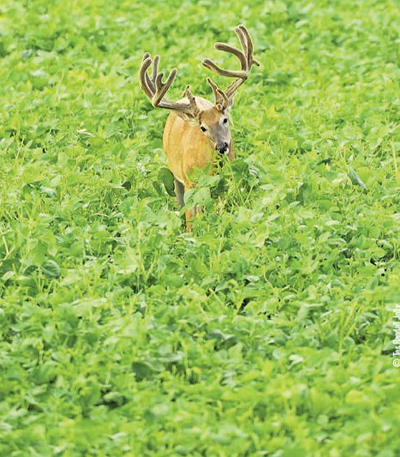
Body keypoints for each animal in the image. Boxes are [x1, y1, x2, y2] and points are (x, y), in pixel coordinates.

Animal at [141, 23, 260, 230]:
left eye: (225, 119)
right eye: (203, 127)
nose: (222, 146)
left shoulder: (225, 181)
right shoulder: (190, 182)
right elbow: (191, 217)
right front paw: (192, 234)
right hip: (174, 172)